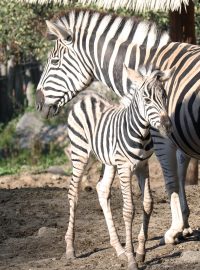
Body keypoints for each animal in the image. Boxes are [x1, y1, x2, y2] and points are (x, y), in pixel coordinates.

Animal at [35, 9, 198, 244]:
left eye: (55, 61)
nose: (38, 103)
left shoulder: (161, 134)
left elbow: (171, 180)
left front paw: (173, 230)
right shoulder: (176, 134)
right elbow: (181, 170)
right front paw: (184, 224)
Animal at [66, 66, 173, 270]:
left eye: (165, 96)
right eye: (147, 99)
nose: (167, 127)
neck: (142, 133)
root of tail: (87, 95)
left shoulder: (143, 166)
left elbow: (148, 203)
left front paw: (140, 252)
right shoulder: (125, 167)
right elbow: (129, 209)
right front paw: (132, 259)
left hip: (108, 161)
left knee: (102, 189)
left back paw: (119, 249)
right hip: (79, 153)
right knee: (73, 194)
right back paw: (70, 249)